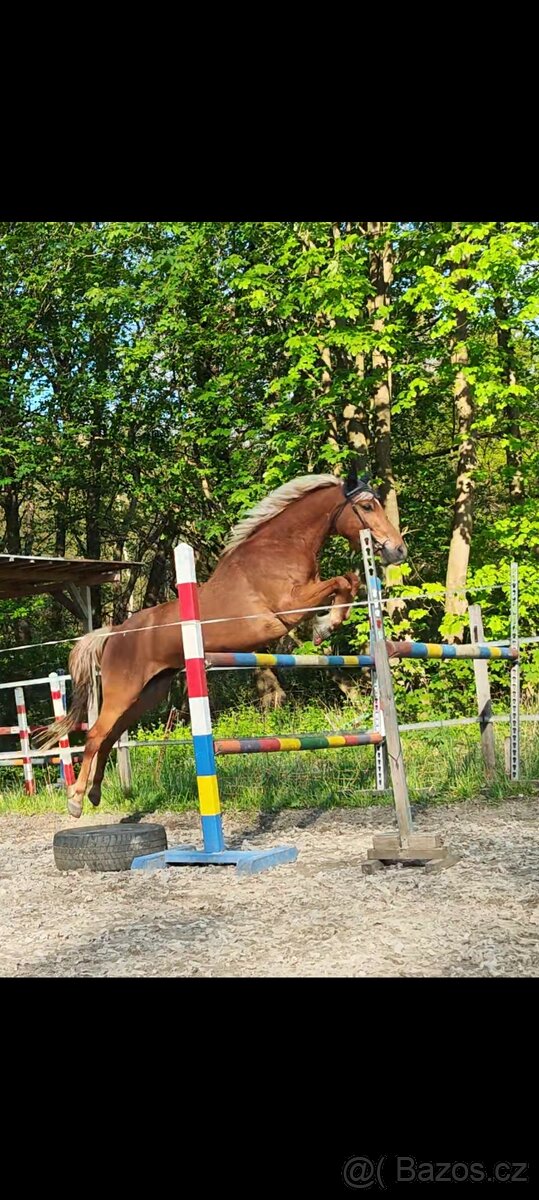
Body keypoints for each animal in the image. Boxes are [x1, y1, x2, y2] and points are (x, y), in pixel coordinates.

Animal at [42, 467, 406, 816]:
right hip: (123, 691)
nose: (397, 550)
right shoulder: (288, 607)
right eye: (366, 507)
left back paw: (95, 793)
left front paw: (326, 625)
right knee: (96, 734)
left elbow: (351, 581)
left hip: (147, 694)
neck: (282, 547)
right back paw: (75, 800)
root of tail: (115, 633)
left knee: (110, 737)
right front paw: (324, 627)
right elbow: (342, 581)